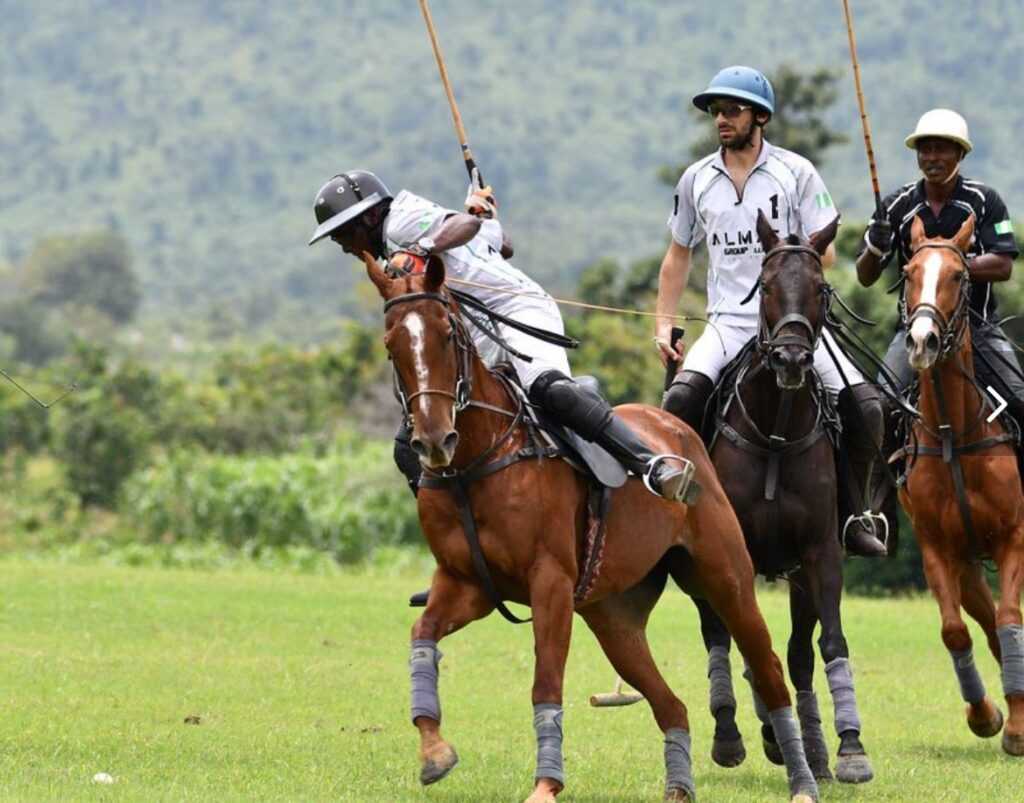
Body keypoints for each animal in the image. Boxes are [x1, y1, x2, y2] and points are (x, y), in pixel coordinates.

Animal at [364, 247, 819, 798]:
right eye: (391, 346)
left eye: (447, 334)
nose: (433, 439)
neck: (477, 460)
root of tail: (676, 425)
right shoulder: (466, 584)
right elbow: (422, 635)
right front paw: (434, 752)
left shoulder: (550, 582)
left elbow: (546, 679)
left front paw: (546, 785)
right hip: (613, 616)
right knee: (671, 704)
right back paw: (679, 788)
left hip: (725, 576)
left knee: (768, 668)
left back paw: (804, 782)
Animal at [688, 212, 872, 782]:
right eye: (765, 286)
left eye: (819, 288)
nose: (791, 358)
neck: (775, 431)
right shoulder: (733, 553)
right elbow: (743, 639)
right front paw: (753, 731)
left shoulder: (819, 552)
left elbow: (825, 642)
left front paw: (849, 748)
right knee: (721, 633)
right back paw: (741, 731)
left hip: (797, 575)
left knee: (795, 653)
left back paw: (808, 745)